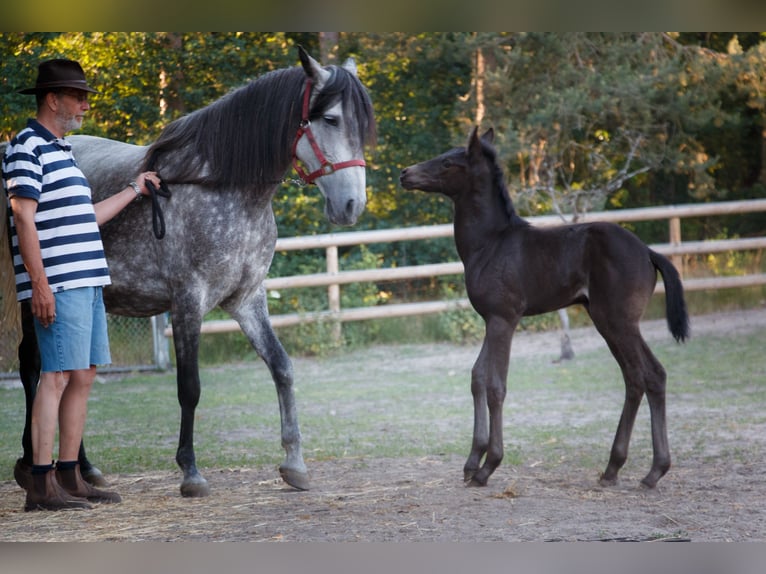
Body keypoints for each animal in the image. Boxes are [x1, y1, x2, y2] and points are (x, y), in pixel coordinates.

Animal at [2, 46, 376, 497]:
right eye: (332, 119)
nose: (352, 205)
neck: (217, 186)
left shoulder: (247, 300)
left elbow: (282, 368)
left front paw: (294, 463)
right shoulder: (187, 302)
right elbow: (190, 388)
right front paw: (191, 472)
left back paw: (86, 469)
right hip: (37, 301)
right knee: (35, 370)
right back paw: (32, 464)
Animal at [399, 127, 689, 489]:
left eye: (448, 162)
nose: (405, 174)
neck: (489, 244)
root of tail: (649, 253)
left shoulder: (504, 318)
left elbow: (495, 385)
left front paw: (488, 466)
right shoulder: (491, 319)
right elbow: (478, 377)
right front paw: (471, 462)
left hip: (619, 321)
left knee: (651, 374)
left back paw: (653, 472)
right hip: (607, 322)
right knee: (636, 378)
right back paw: (614, 468)